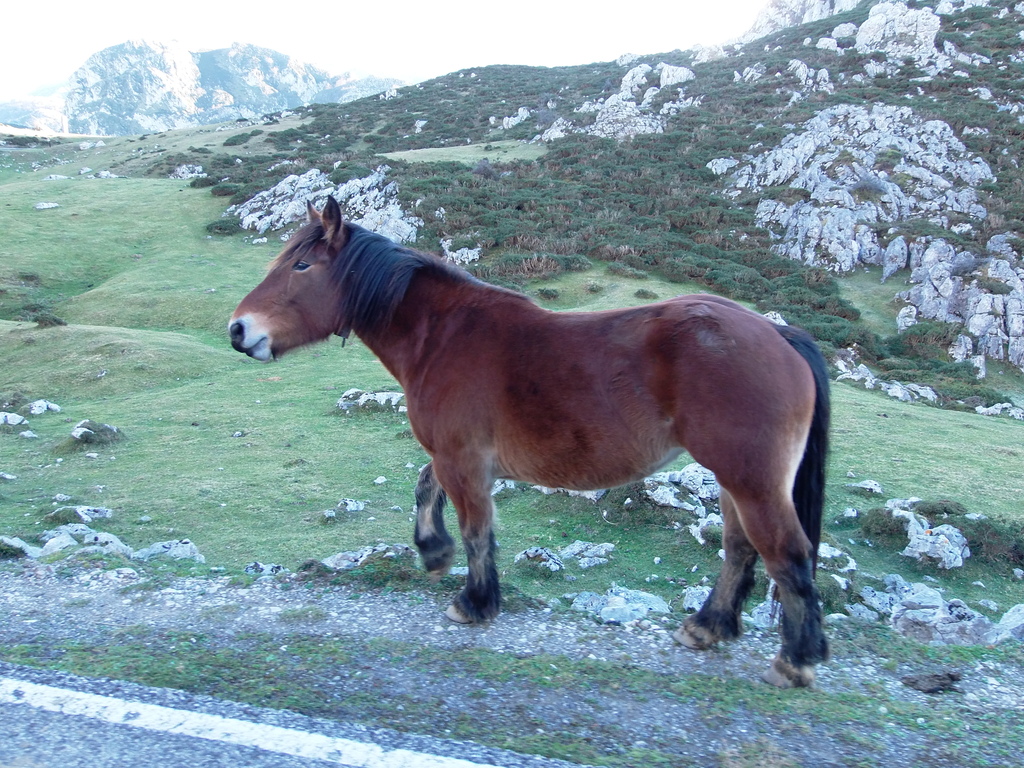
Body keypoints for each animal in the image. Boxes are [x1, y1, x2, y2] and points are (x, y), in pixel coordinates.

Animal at [232, 196, 831, 684]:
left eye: (301, 265)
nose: (239, 330)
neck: (441, 336)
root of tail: (780, 333)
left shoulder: (463, 459)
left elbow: (476, 529)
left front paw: (474, 602)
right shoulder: (457, 458)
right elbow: (427, 487)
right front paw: (433, 550)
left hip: (751, 480)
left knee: (786, 554)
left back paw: (794, 661)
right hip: (735, 480)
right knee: (741, 550)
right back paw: (707, 627)